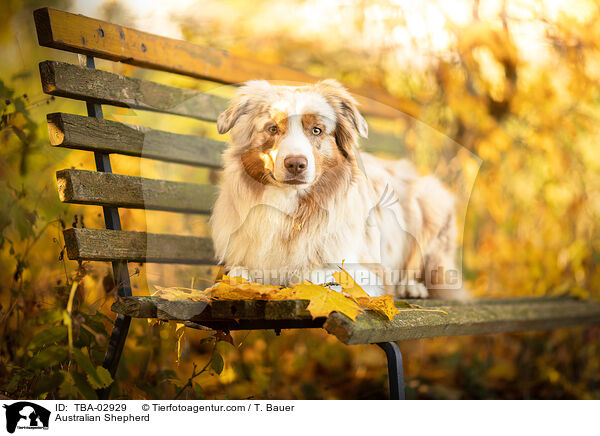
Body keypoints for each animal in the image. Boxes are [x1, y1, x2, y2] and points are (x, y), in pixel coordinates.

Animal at [209, 79, 462, 300]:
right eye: (272, 129)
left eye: (317, 130)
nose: (296, 164)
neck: (292, 209)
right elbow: (236, 275)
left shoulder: (369, 271)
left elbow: (318, 275)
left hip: (430, 200)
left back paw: (413, 287)